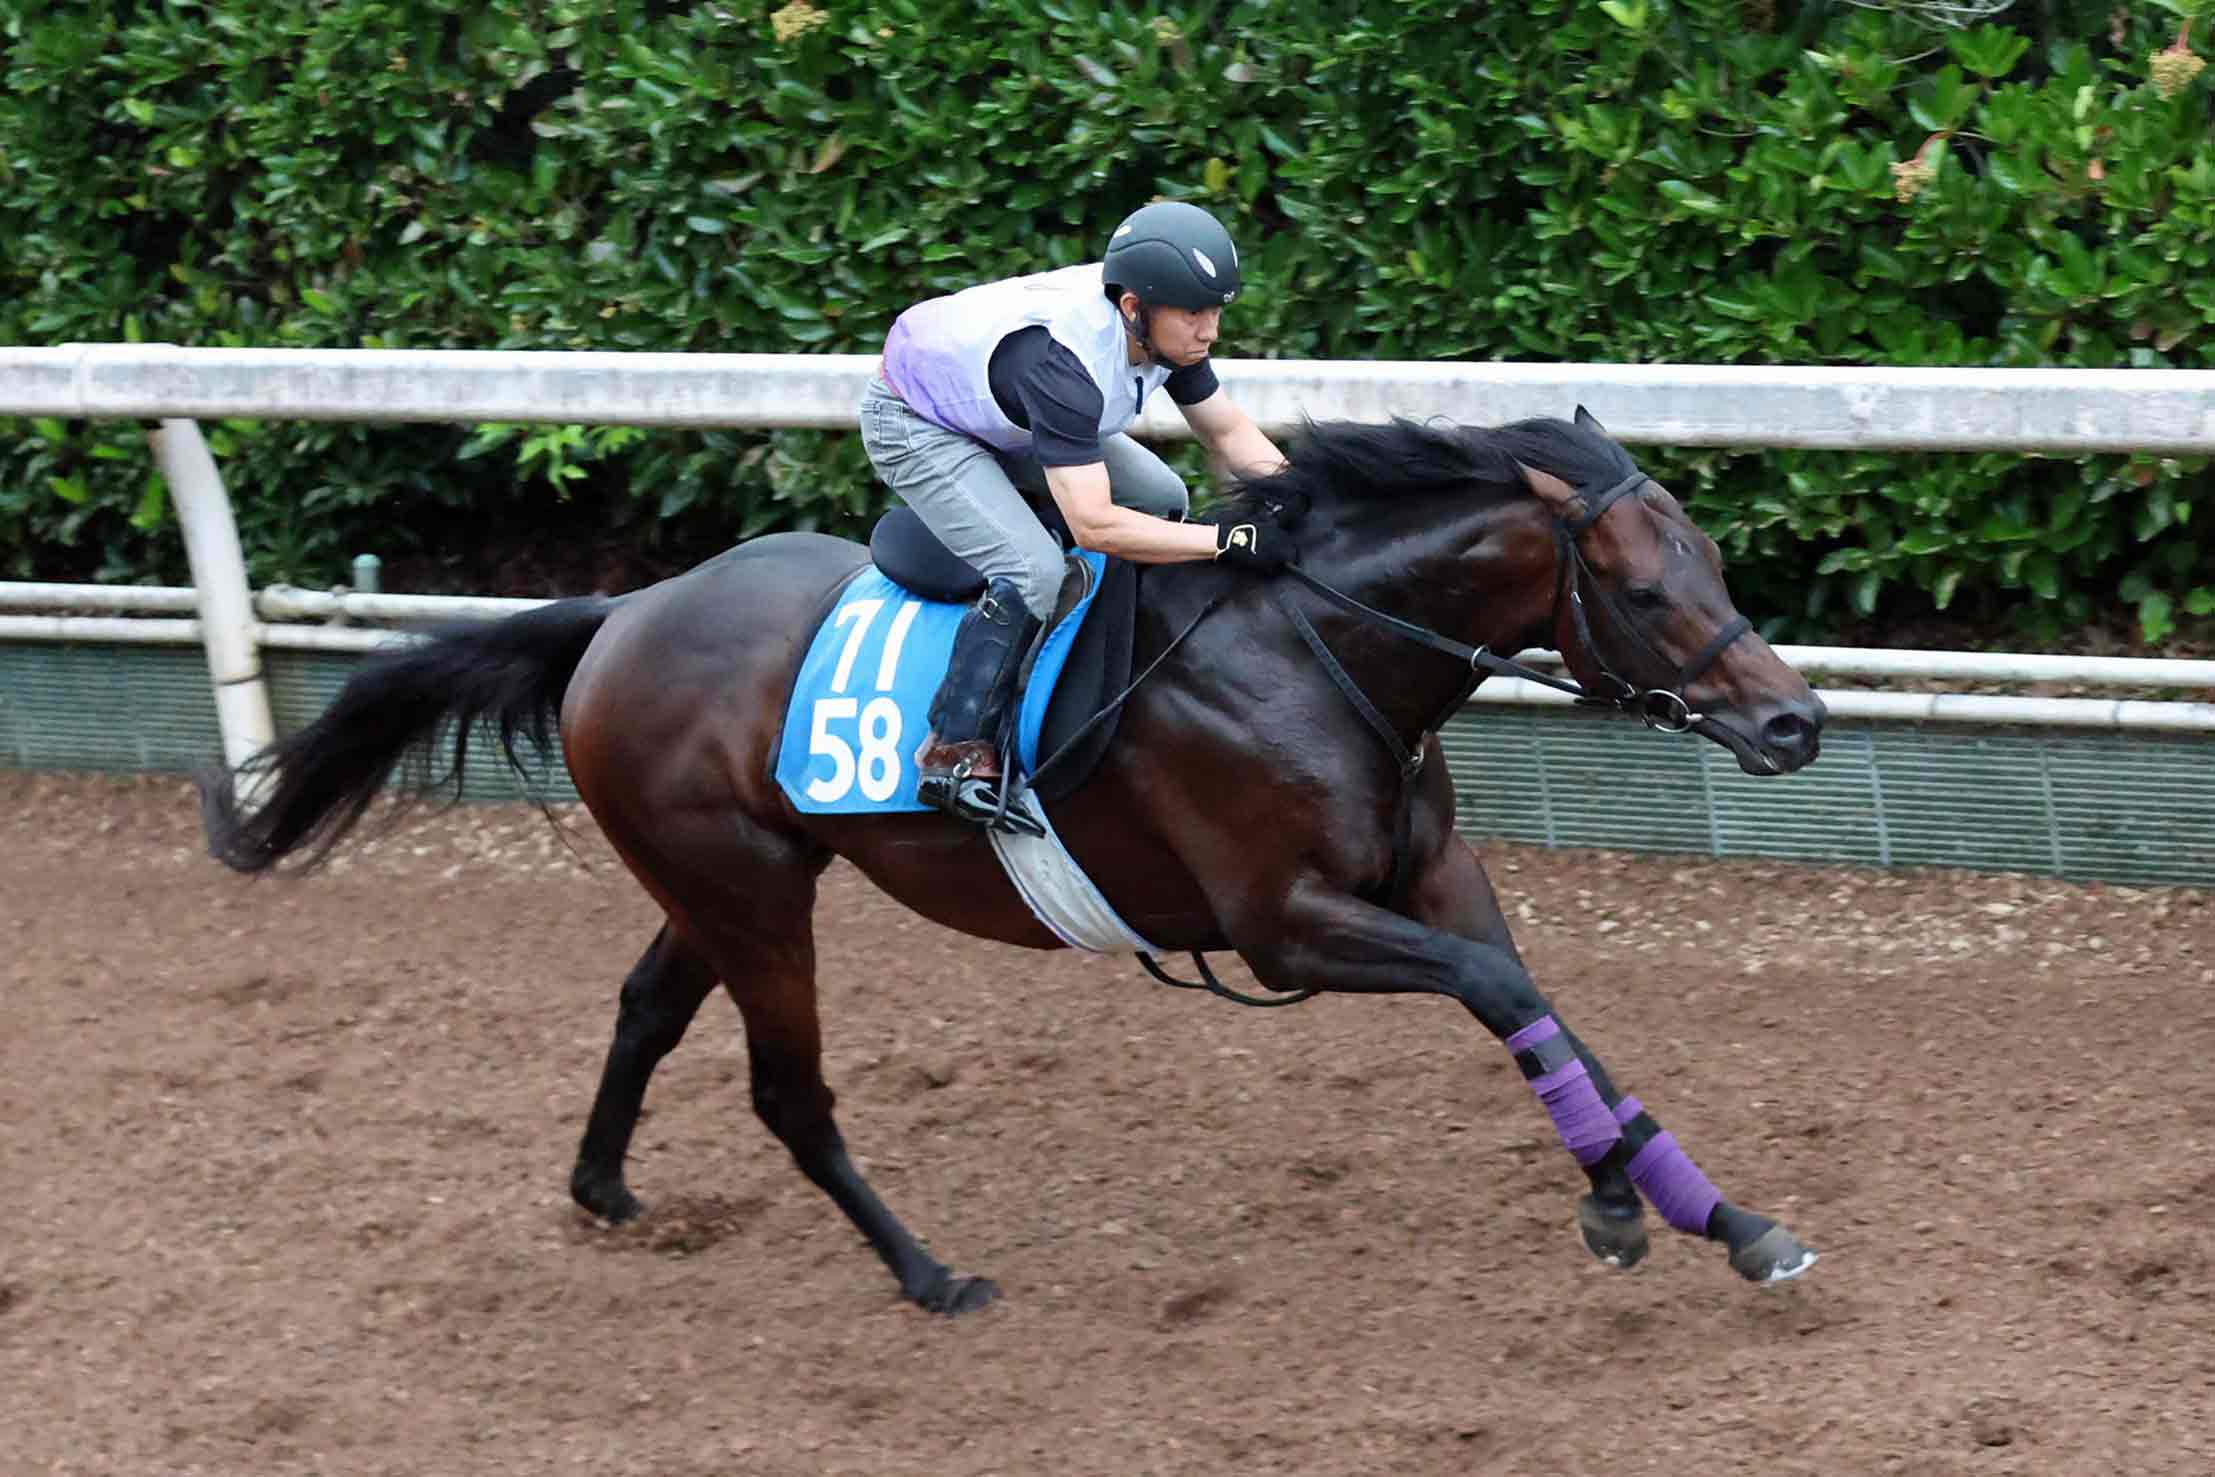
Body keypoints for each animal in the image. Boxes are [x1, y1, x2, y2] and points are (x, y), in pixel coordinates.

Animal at [198, 407, 1827, 1316]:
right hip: (749, 894)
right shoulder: (1287, 926)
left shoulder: (1431, 882)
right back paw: (929, 1276)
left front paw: (1716, 1217)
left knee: (647, 1007)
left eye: (1710, 560)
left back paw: (603, 1187)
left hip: (731, 881)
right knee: (786, 1092)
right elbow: (1499, 994)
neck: (1313, 645)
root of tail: (619, 615)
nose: (1793, 721)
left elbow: (1539, 1007)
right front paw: (1624, 1210)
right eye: (1638, 585)